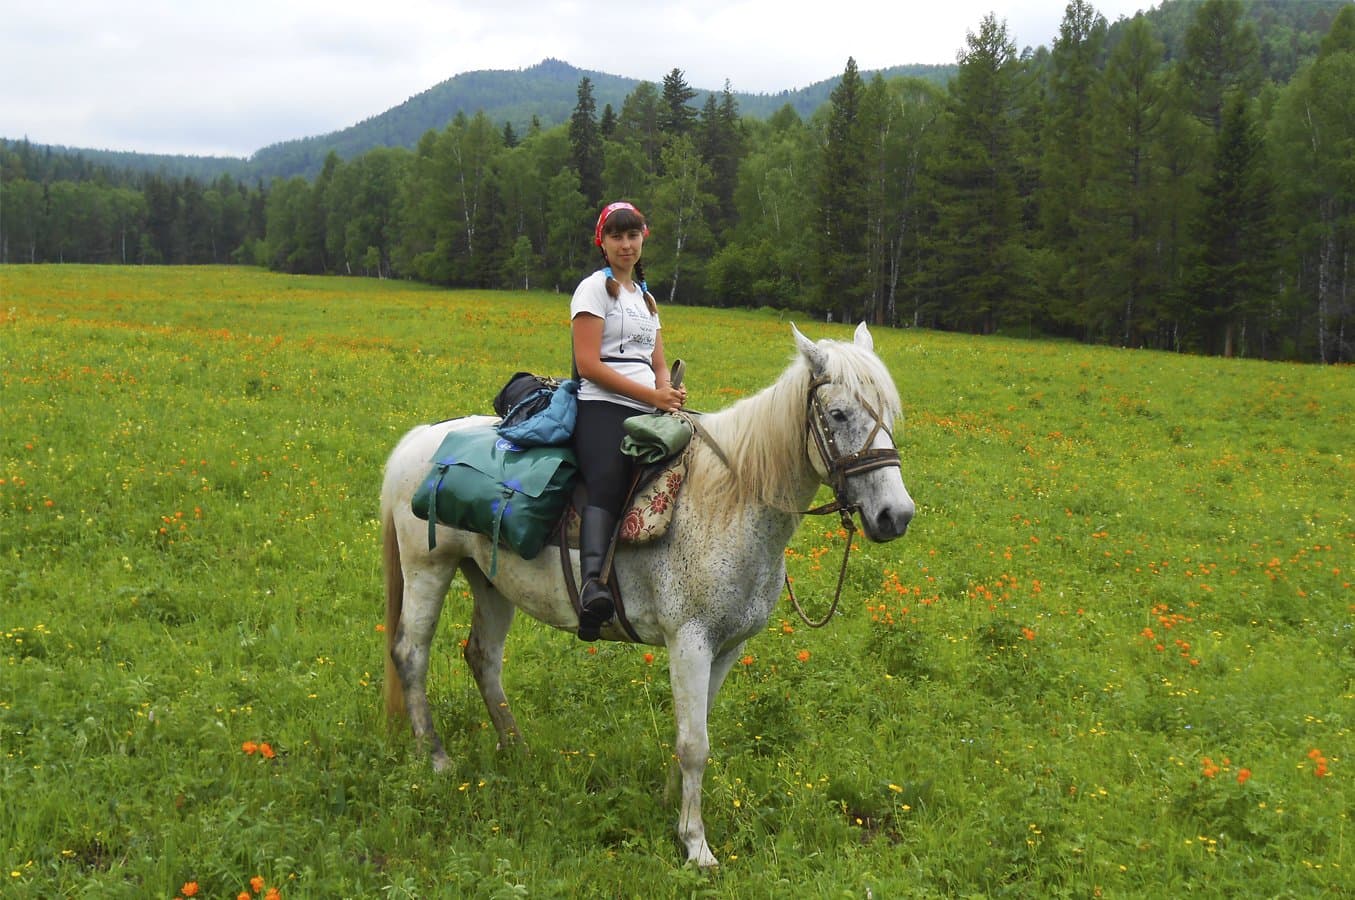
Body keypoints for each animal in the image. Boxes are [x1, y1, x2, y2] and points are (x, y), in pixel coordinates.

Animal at [376, 323, 915, 867]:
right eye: (838, 414)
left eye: (889, 414)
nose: (896, 515)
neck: (728, 501)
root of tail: (419, 440)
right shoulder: (690, 641)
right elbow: (696, 742)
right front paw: (696, 844)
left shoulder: (727, 647)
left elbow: (695, 730)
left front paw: (669, 804)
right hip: (428, 568)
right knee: (412, 653)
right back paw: (436, 758)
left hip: (489, 581)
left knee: (483, 657)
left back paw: (516, 748)